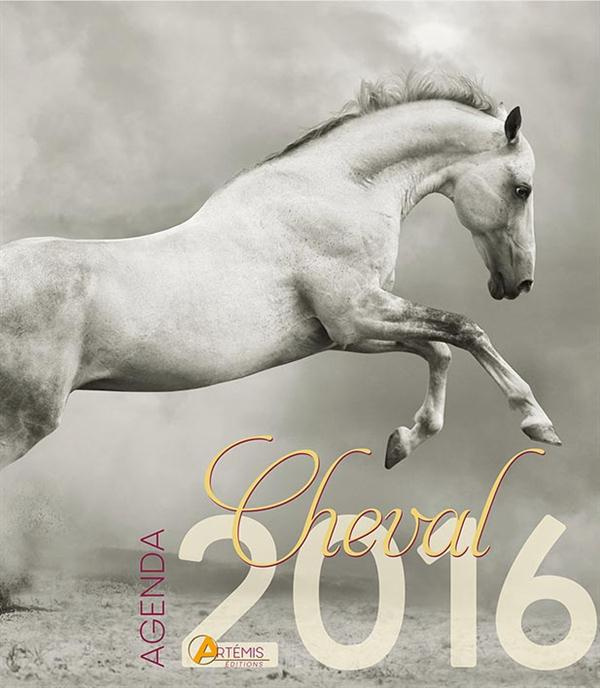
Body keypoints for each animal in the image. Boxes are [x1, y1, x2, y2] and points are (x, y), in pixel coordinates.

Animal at [0, 71, 561, 472]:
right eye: (522, 189)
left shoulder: (348, 333)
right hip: (24, 422)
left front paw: (402, 442)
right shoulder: (358, 313)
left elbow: (439, 349)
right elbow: (465, 329)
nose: (519, 283)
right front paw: (538, 423)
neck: (338, 189)